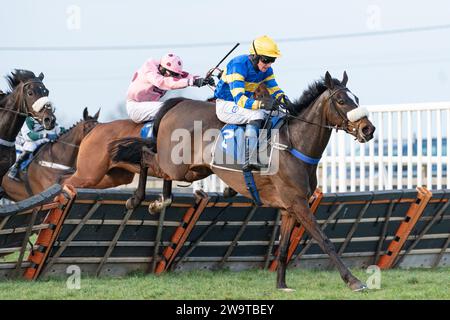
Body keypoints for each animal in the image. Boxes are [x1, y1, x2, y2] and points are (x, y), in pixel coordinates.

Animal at [110, 71, 376, 292]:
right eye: (341, 100)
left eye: (356, 98)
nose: (368, 129)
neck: (294, 144)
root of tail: (179, 102)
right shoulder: (299, 204)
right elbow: (325, 240)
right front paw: (354, 281)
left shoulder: (289, 208)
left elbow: (283, 249)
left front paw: (281, 284)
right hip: (175, 164)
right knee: (145, 154)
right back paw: (138, 199)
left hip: (191, 171)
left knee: (157, 166)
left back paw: (161, 200)